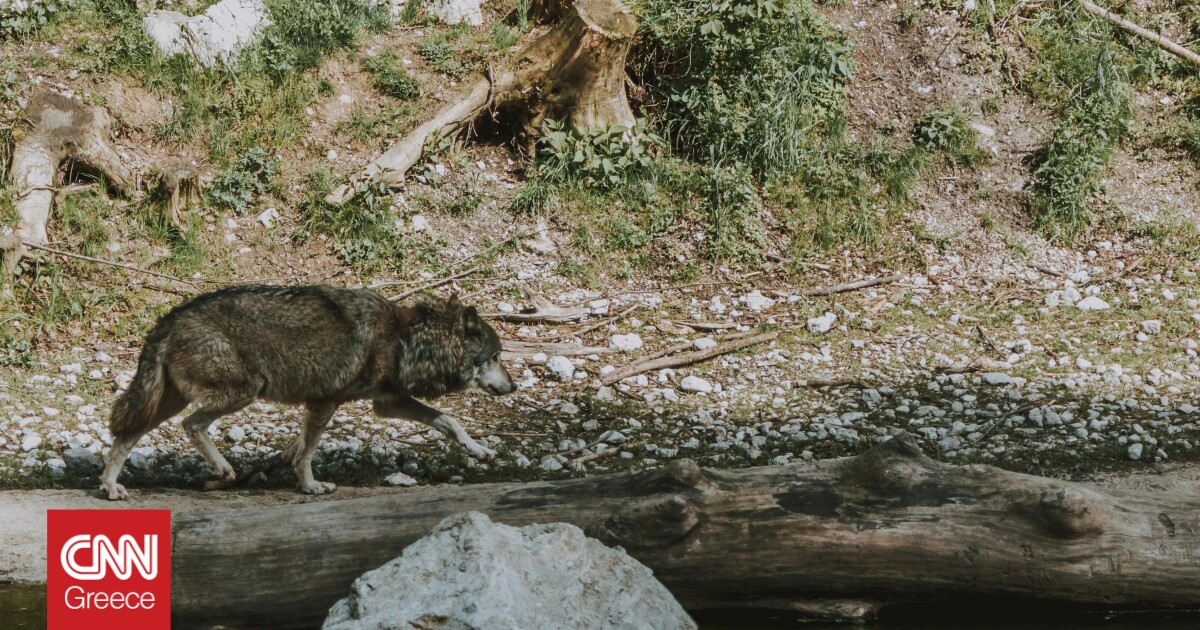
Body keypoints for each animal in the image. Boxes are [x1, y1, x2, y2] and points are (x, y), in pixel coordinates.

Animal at [99, 282, 516, 499]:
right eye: (495, 357)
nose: (512, 386)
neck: (406, 339)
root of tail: (167, 320)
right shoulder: (325, 401)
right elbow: (308, 453)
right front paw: (311, 486)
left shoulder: (387, 402)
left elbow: (449, 421)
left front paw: (479, 451)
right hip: (243, 391)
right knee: (191, 425)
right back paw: (223, 469)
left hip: (168, 401)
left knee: (126, 435)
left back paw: (111, 487)